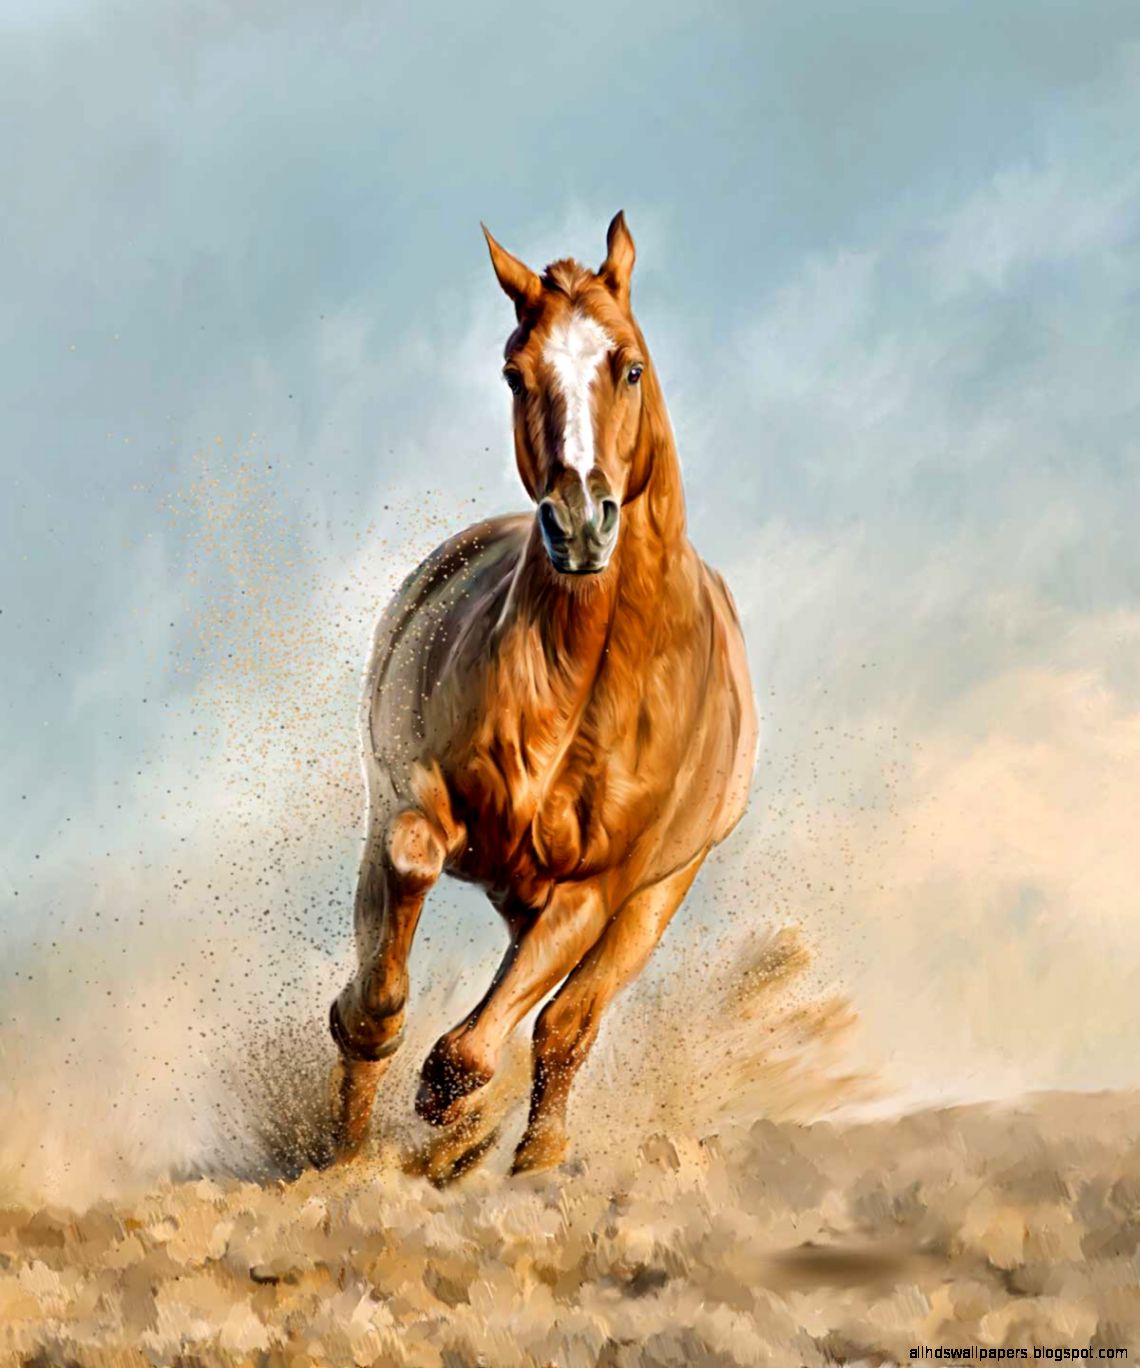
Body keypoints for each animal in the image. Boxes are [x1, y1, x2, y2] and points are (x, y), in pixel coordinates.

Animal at [328, 212, 757, 1175]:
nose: (581, 523)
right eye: (515, 373)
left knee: (567, 1023)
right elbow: (405, 889)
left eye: (628, 364)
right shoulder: (414, 797)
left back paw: (530, 1160)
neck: (582, 676)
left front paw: (453, 1120)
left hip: (653, 898)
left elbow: (489, 1046)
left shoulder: (597, 887)